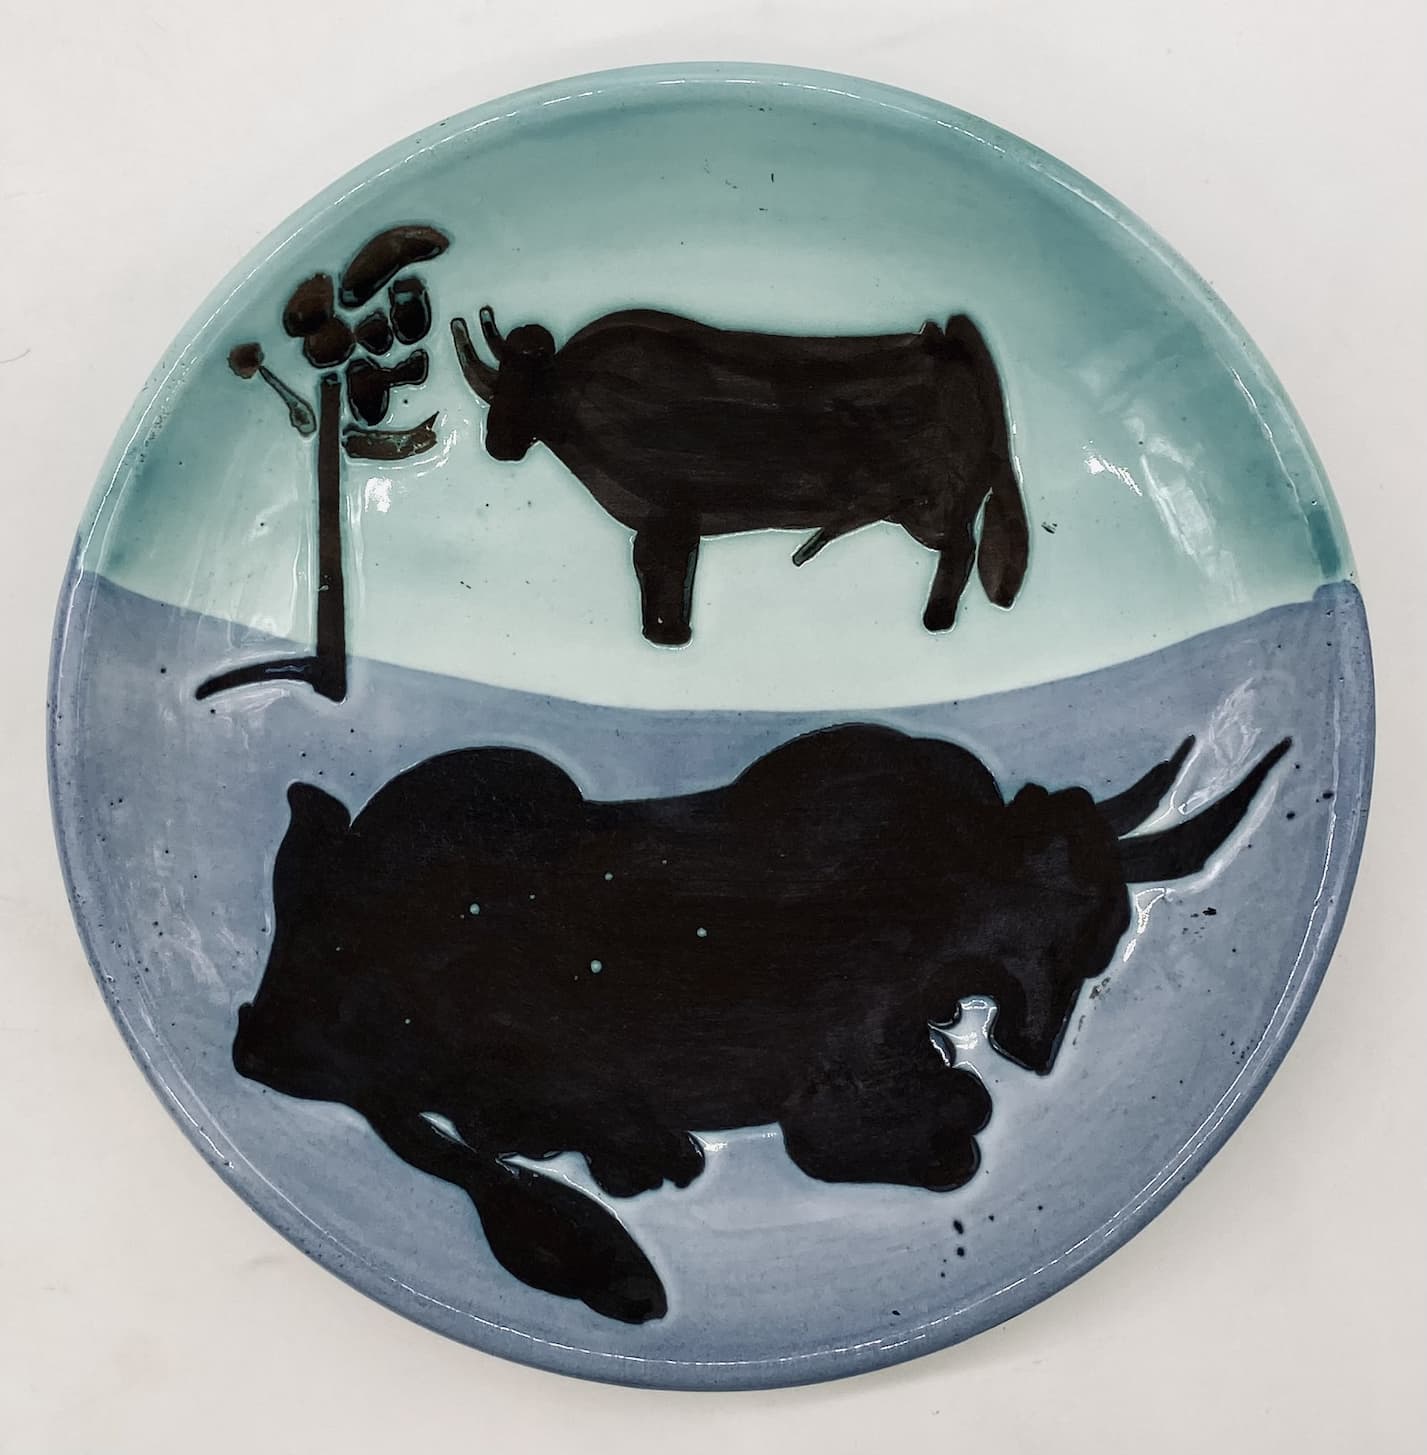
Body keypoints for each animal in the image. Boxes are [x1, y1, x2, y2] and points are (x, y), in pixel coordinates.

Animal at [232, 724, 1288, 1323]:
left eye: (1110, 933)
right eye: (1078, 914)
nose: (1035, 1049)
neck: (940, 890)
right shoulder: (822, 1093)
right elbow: (941, 1121)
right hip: (491, 795)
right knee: (324, 1072)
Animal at [450, 304, 1031, 645]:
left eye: (521, 386)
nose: (497, 448)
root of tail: (951, 344)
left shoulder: (667, 518)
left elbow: (661, 576)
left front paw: (668, 634)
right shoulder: (668, 524)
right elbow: (657, 573)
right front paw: (668, 632)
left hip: (931, 507)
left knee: (962, 548)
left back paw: (937, 619)